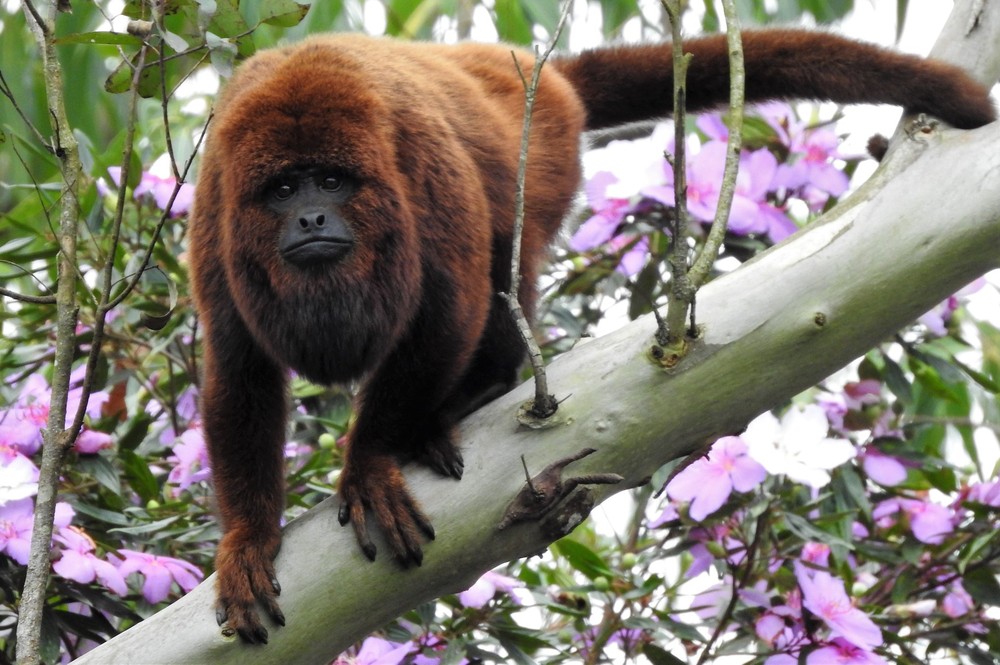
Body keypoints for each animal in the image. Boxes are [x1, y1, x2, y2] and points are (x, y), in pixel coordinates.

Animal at [187, 29, 996, 644]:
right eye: (282, 190)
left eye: (329, 179)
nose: (311, 219)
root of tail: (527, 70)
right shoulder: (218, 202)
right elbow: (236, 371)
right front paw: (247, 540)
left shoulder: (417, 161)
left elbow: (447, 309)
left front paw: (368, 462)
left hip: (539, 161)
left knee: (503, 274)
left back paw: (466, 397)